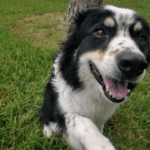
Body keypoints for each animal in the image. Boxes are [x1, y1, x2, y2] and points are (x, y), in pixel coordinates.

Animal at [38, 4, 149, 150]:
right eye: (100, 32)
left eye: (142, 38)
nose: (135, 64)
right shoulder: (62, 109)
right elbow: (81, 121)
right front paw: (101, 144)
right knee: (45, 116)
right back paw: (47, 131)